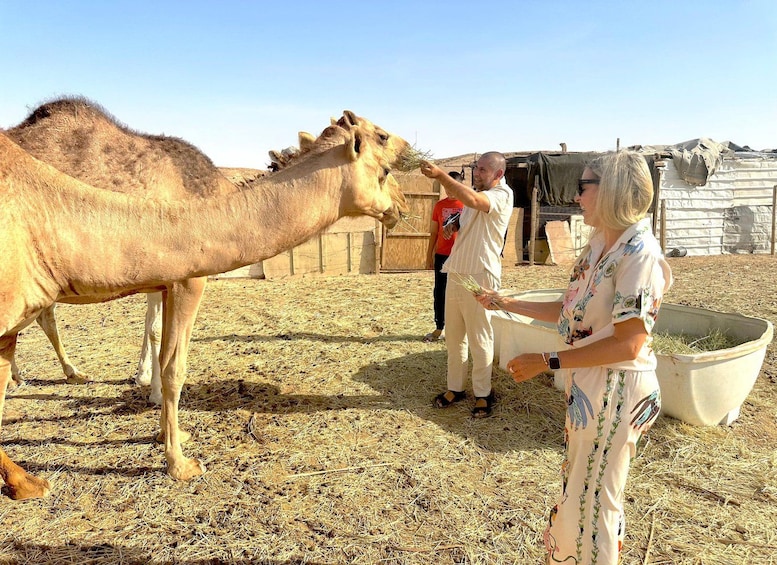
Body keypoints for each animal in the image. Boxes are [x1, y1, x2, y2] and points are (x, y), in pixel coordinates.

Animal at [0, 112, 410, 499]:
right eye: (384, 162)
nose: (403, 205)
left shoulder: (165, 280)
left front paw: (169, 436)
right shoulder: (189, 280)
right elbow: (174, 368)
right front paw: (179, 463)